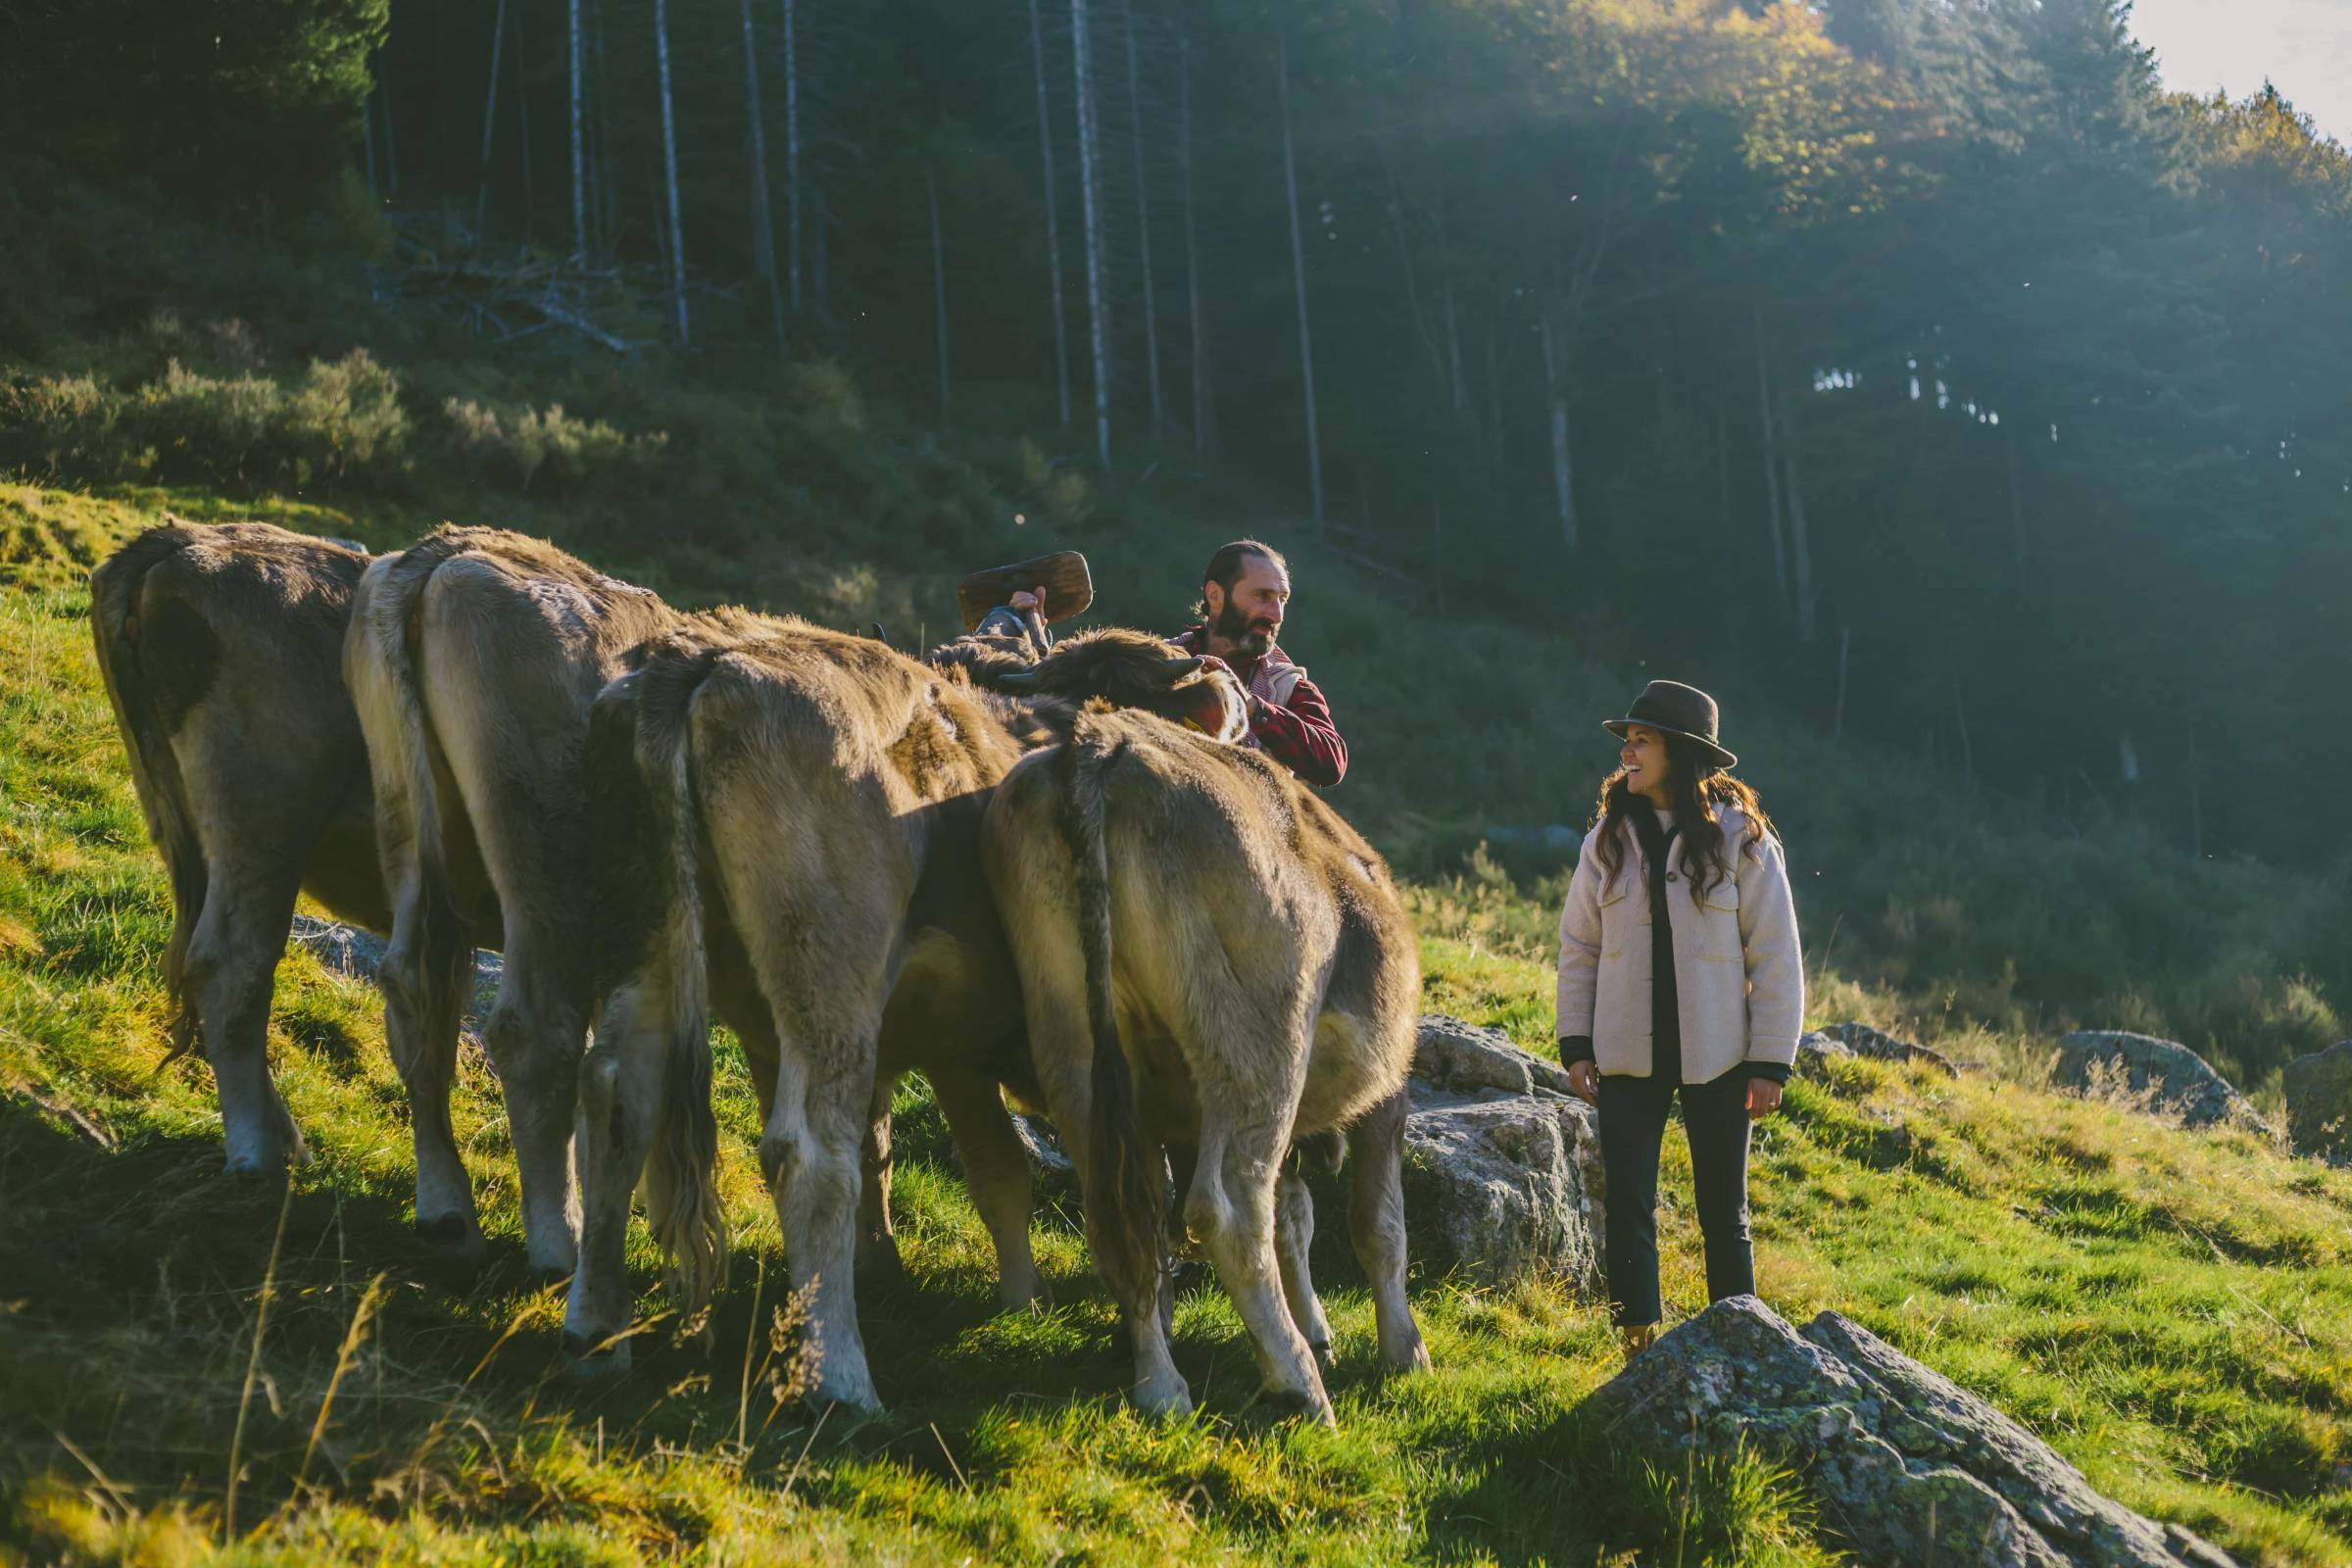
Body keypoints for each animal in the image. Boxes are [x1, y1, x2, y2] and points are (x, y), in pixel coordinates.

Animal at [562, 620, 1250, 1410]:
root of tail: (703, 657)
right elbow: (1117, 1182)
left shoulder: (948, 1047)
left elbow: (982, 1168)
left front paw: (1003, 1295)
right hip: (830, 971)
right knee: (808, 1151)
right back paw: (839, 1376)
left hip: (648, 937)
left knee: (617, 1096)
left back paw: (595, 1329)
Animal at [978, 700, 1430, 1419]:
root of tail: (1102, 739)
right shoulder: (1388, 1092)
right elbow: (1377, 1224)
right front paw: (1403, 1351)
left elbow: (1294, 1217)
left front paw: (1319, 1325)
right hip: (1258, 1048)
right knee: (1229, 1208)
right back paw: (1299, 1385)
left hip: (1072, 1032)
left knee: (1120, 1210)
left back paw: (1160, 1384)